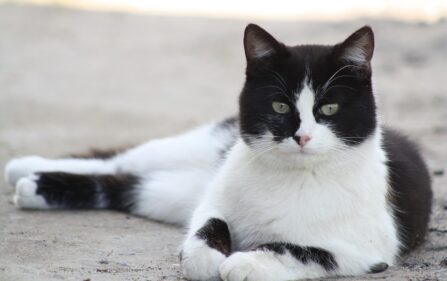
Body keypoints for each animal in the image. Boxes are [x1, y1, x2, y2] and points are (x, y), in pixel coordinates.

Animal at [4, 24, 434, 280]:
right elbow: (208, 224)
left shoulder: (367, 248)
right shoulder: (213, 201)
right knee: (123, 159)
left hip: (170, 193)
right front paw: (207, 258)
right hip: (200, 151)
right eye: (279, 106)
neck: (293, 177)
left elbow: (301, 248)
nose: (302, 137)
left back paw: (34, 186)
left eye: (329, 109)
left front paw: (246, 261)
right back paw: (24, 167)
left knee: (126, 183)